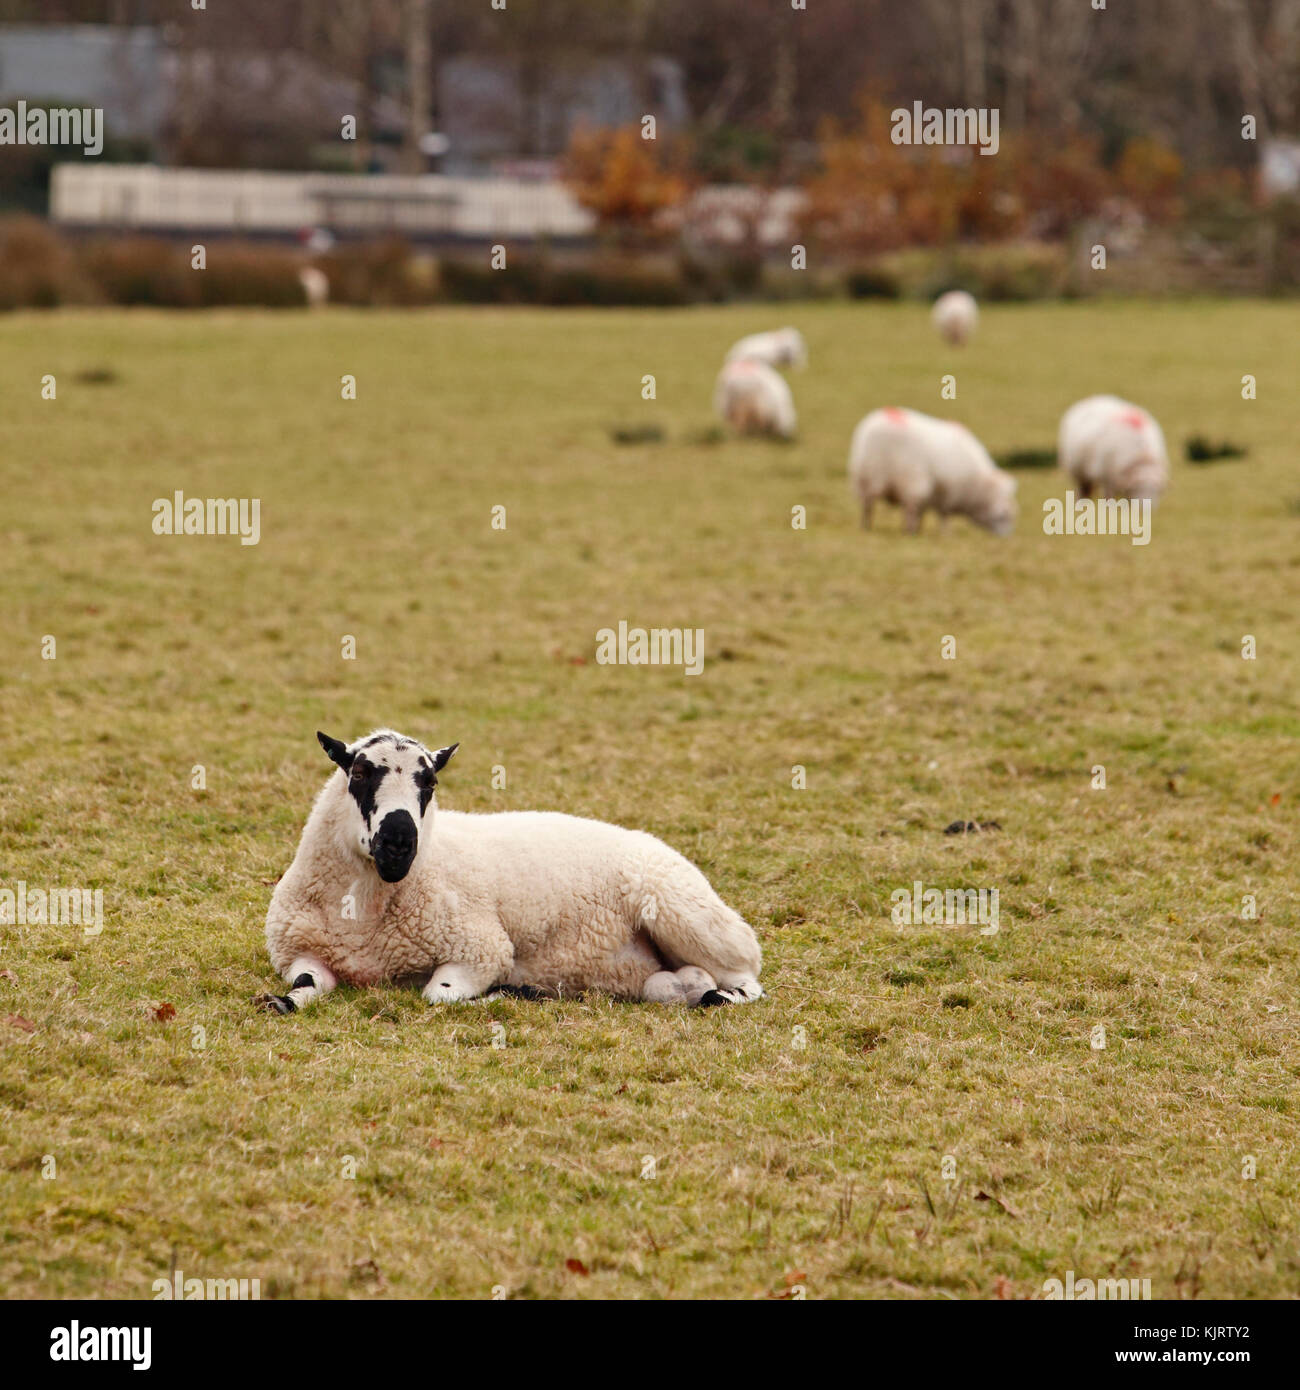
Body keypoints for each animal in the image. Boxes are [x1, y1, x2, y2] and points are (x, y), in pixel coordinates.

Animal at [257, 730, 763, 1014]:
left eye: (430, 782)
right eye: (359, 773)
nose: (399, 844)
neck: (364, 910)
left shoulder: (481, 948)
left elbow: (438, 995)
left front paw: (513, 992)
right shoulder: (300, 952)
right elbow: (303, 985)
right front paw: (281, 1003)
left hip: (691, 918)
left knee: (746, 979)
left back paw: (720, 998)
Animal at [848, 406, 1017, 535]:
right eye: (1003, 515)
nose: (1007, 537)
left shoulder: (933, 495)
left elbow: (923, 513)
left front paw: (922, 528)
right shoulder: (947, 493)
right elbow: (943, 516)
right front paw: (946, 534)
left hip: (868, 479)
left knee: (868, 507)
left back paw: (869, 527)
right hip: (904, 480)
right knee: (885, 508)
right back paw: (907, 532)